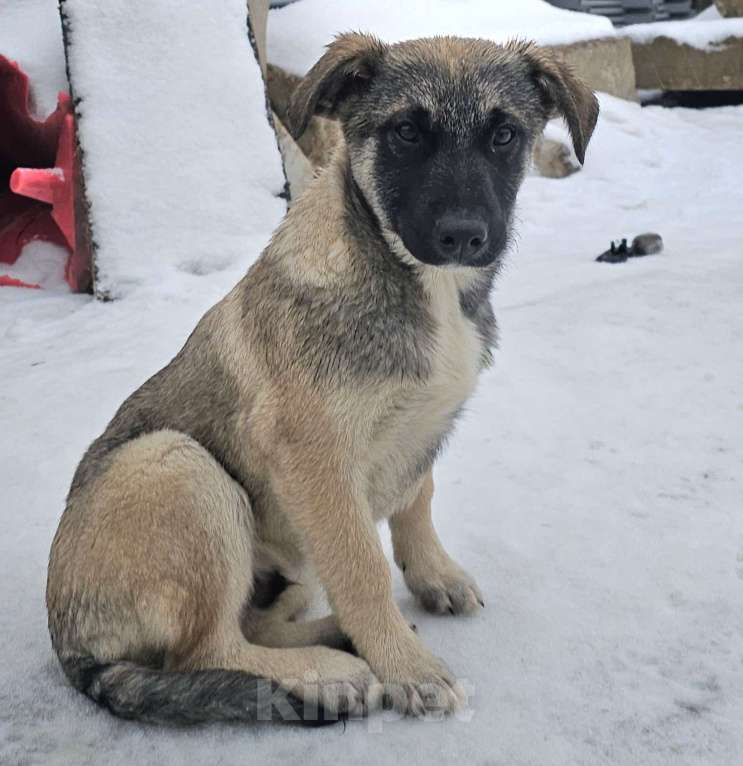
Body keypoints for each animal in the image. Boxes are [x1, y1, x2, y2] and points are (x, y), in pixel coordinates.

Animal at [46, 31, 600, 728]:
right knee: (206, 649)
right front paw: (408, 670)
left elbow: (417, 496)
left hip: (287, 558)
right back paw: (328, 673)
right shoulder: (315, 459)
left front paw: (433, 576)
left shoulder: (422, 429)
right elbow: (362, 567)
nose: (463, 236)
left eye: (504, 136)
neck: (422, 285)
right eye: (405, 133)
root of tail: (71, 648)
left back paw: (333, 638)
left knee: (251, 625)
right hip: (179, 465)